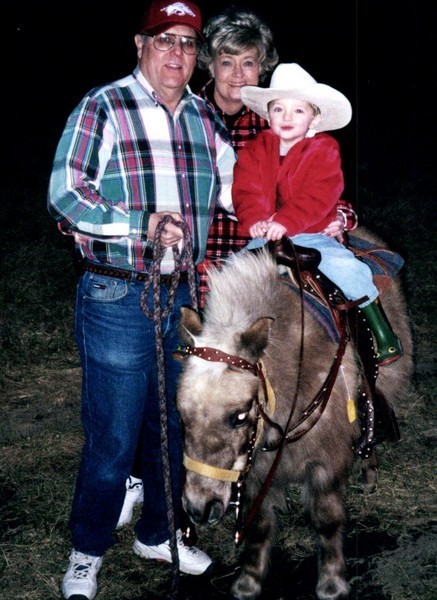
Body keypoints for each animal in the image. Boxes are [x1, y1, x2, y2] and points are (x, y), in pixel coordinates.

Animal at [176, 229, 413, 600]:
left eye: (239, 416)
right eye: (182, 414)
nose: (198, 509)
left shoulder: (325, 460)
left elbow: (326, 520)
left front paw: (331, 583)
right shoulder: (255, 466)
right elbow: (259, 525)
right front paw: (249, 581)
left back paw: (369, 470)